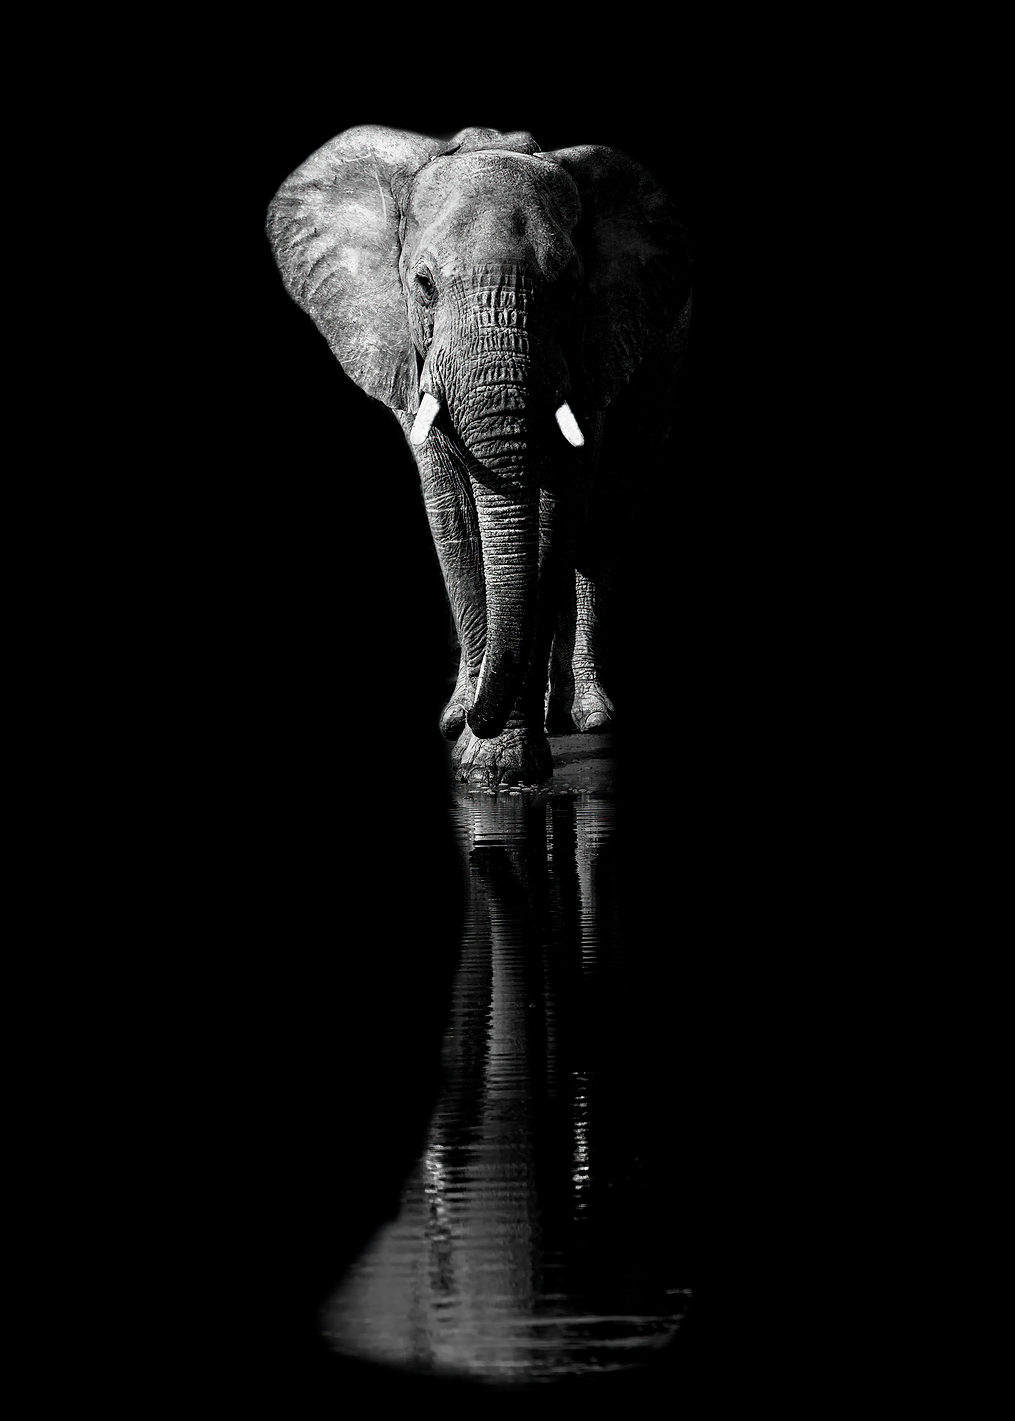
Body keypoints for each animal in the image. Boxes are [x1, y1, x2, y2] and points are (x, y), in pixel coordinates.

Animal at [266, 124, 691, 786]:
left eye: (570, 286)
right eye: (423, 285)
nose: (466, 721)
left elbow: (556, 516)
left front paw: (499, 768)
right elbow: (455, 516)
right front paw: (469, 736)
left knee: (603, 525)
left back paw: (585, 717)